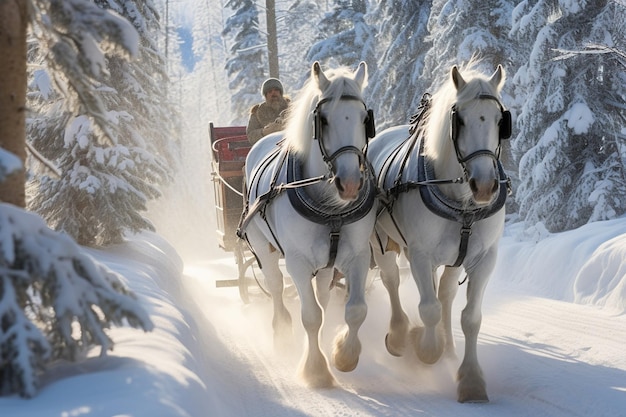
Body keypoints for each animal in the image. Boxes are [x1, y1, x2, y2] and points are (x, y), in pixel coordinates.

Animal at [238, 61, 376, 386]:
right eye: (322, 120)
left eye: (365, 118)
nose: (350, 184)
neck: (331, 207)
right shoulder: (298, 262)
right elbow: (310, 316)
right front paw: (315, 369)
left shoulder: (358, 256)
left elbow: (356, 310)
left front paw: (343, 355)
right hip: (263, 248)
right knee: (276, 286)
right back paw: (281, 332)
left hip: (327, 262)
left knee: (323, 293)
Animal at [368, 63, 510, 402]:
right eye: (460, 120)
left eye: (500, 120)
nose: (485, 186)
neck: (464, 204)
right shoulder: (420, 253)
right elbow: (428, 308)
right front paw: (426, 349)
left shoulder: (484, 258)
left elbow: (470, 317)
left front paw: (470, 379)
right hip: (382, 243)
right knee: (392, 281)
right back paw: (400, 335)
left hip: (453, 258)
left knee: (445, 293)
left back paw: (448, 349)